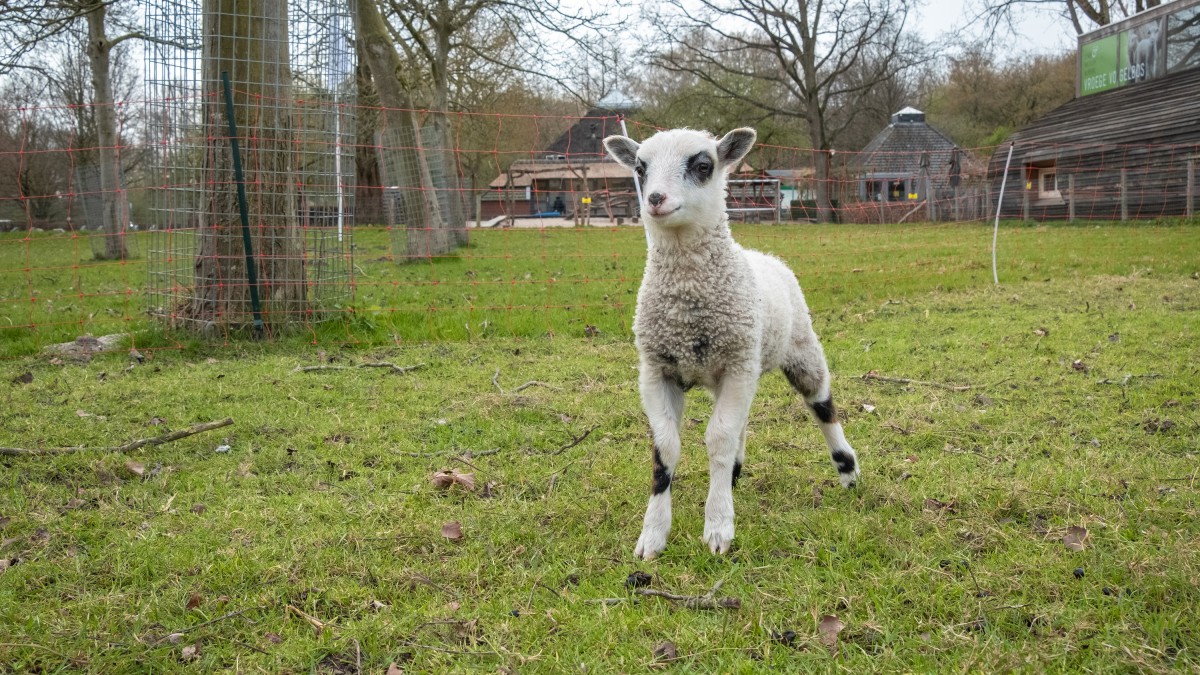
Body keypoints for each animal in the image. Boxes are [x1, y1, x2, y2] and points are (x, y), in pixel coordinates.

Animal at [604, 126, 859, 557]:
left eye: (703, 166)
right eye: (640, 168)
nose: (655, 199)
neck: (688, 301)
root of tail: (762, 253)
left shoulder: (735, 364)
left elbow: (717, 438)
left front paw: (718, 526)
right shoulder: (657, 370)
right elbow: (666, 448)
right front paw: (652, 535)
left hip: (797, 348)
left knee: (822, 405)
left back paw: (848, 470)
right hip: (738, 366)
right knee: (741, 421)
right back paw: (735, 472)